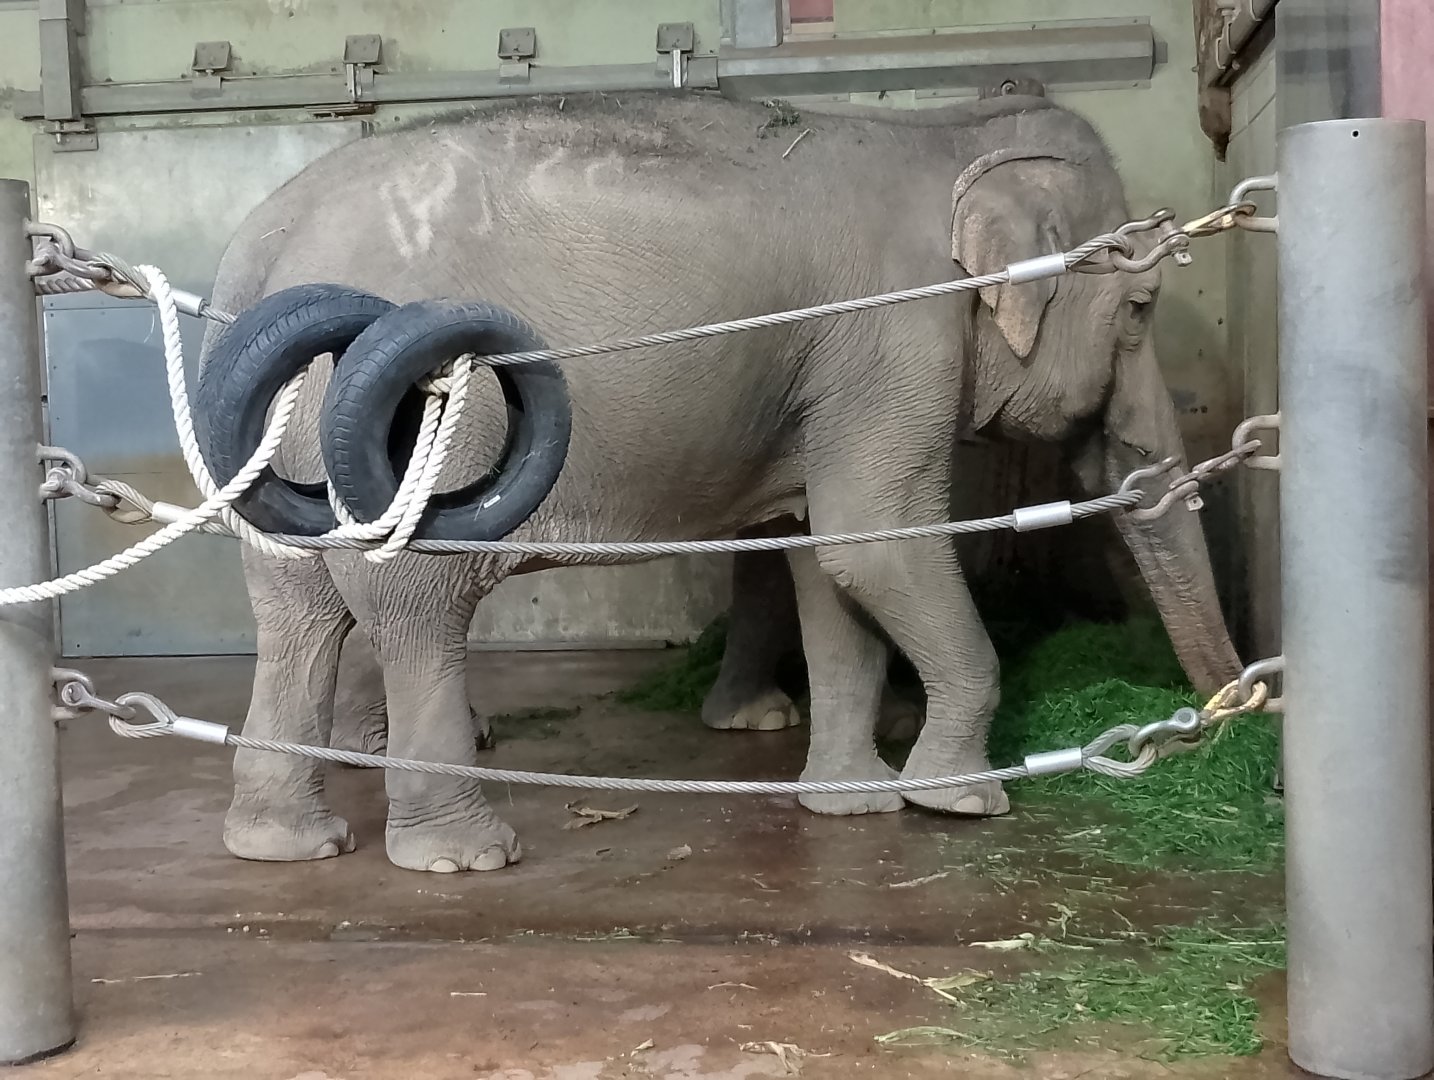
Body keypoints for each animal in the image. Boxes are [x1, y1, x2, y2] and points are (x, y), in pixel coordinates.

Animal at [201, 92, 1240, 874]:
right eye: (1142, 308)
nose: (1211, 727)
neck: (953, 131)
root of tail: (258, 241)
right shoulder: (897, 339)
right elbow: (876, 539)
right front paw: (965, 802)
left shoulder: (839, 368)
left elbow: (830, 561)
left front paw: (855, 806)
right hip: (421, 420)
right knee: (413, 598)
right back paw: (464, 854)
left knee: (294, 605)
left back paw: (284, 842)